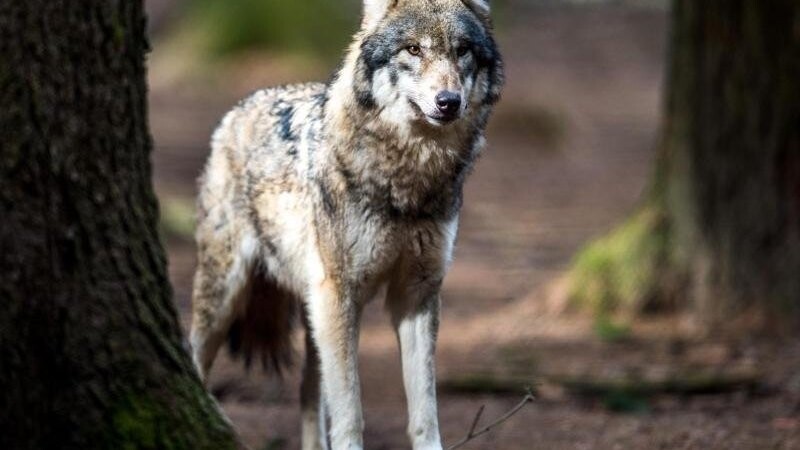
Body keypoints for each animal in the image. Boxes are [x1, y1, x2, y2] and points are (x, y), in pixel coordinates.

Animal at [189, 1, 500, 448]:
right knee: (193, 356)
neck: (407, 180)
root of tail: (238, 108)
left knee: (307, 393)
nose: (448, 101)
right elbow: (350, 410)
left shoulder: (417, 293)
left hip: (314, 311)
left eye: (462, 51)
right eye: (413, 49)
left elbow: (425, 412)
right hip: (228, 296)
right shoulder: (341, 294)